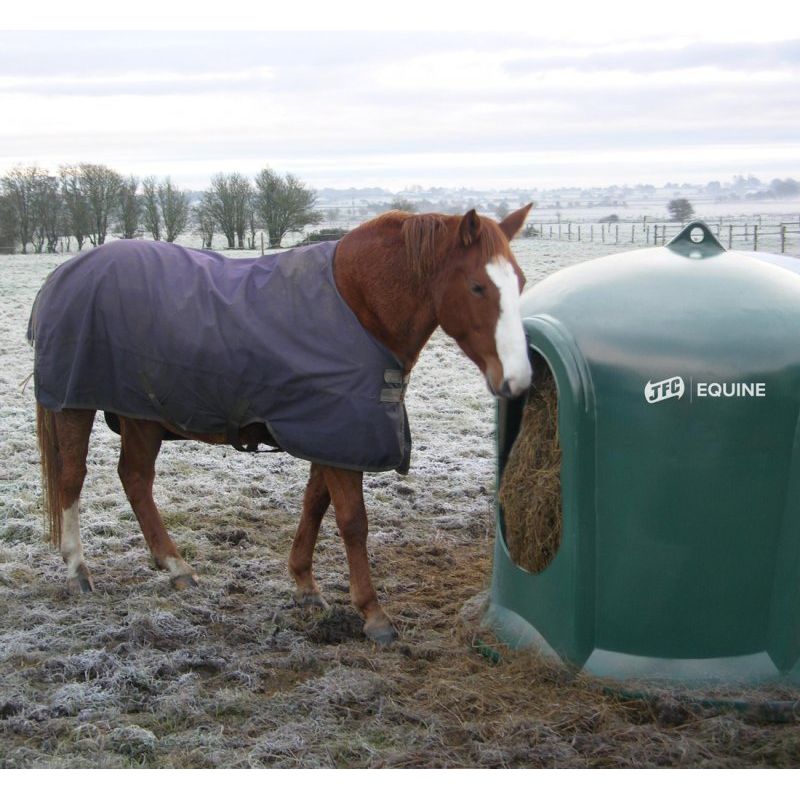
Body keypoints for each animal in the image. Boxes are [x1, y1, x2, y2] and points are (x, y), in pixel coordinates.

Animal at [30, 205, 533, 644]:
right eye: (477, 287)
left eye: (521, 282)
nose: (518, 379)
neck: (360, 305)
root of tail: (61, 276)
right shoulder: (339, 436)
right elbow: (352, 521)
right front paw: (372, 613)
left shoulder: (332, 435)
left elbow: (314, 505)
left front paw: (305, 585)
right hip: (75, 405)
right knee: (73, 479)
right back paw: (78, 571)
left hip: (142, 415)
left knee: (135, 479)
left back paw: (176, 568)